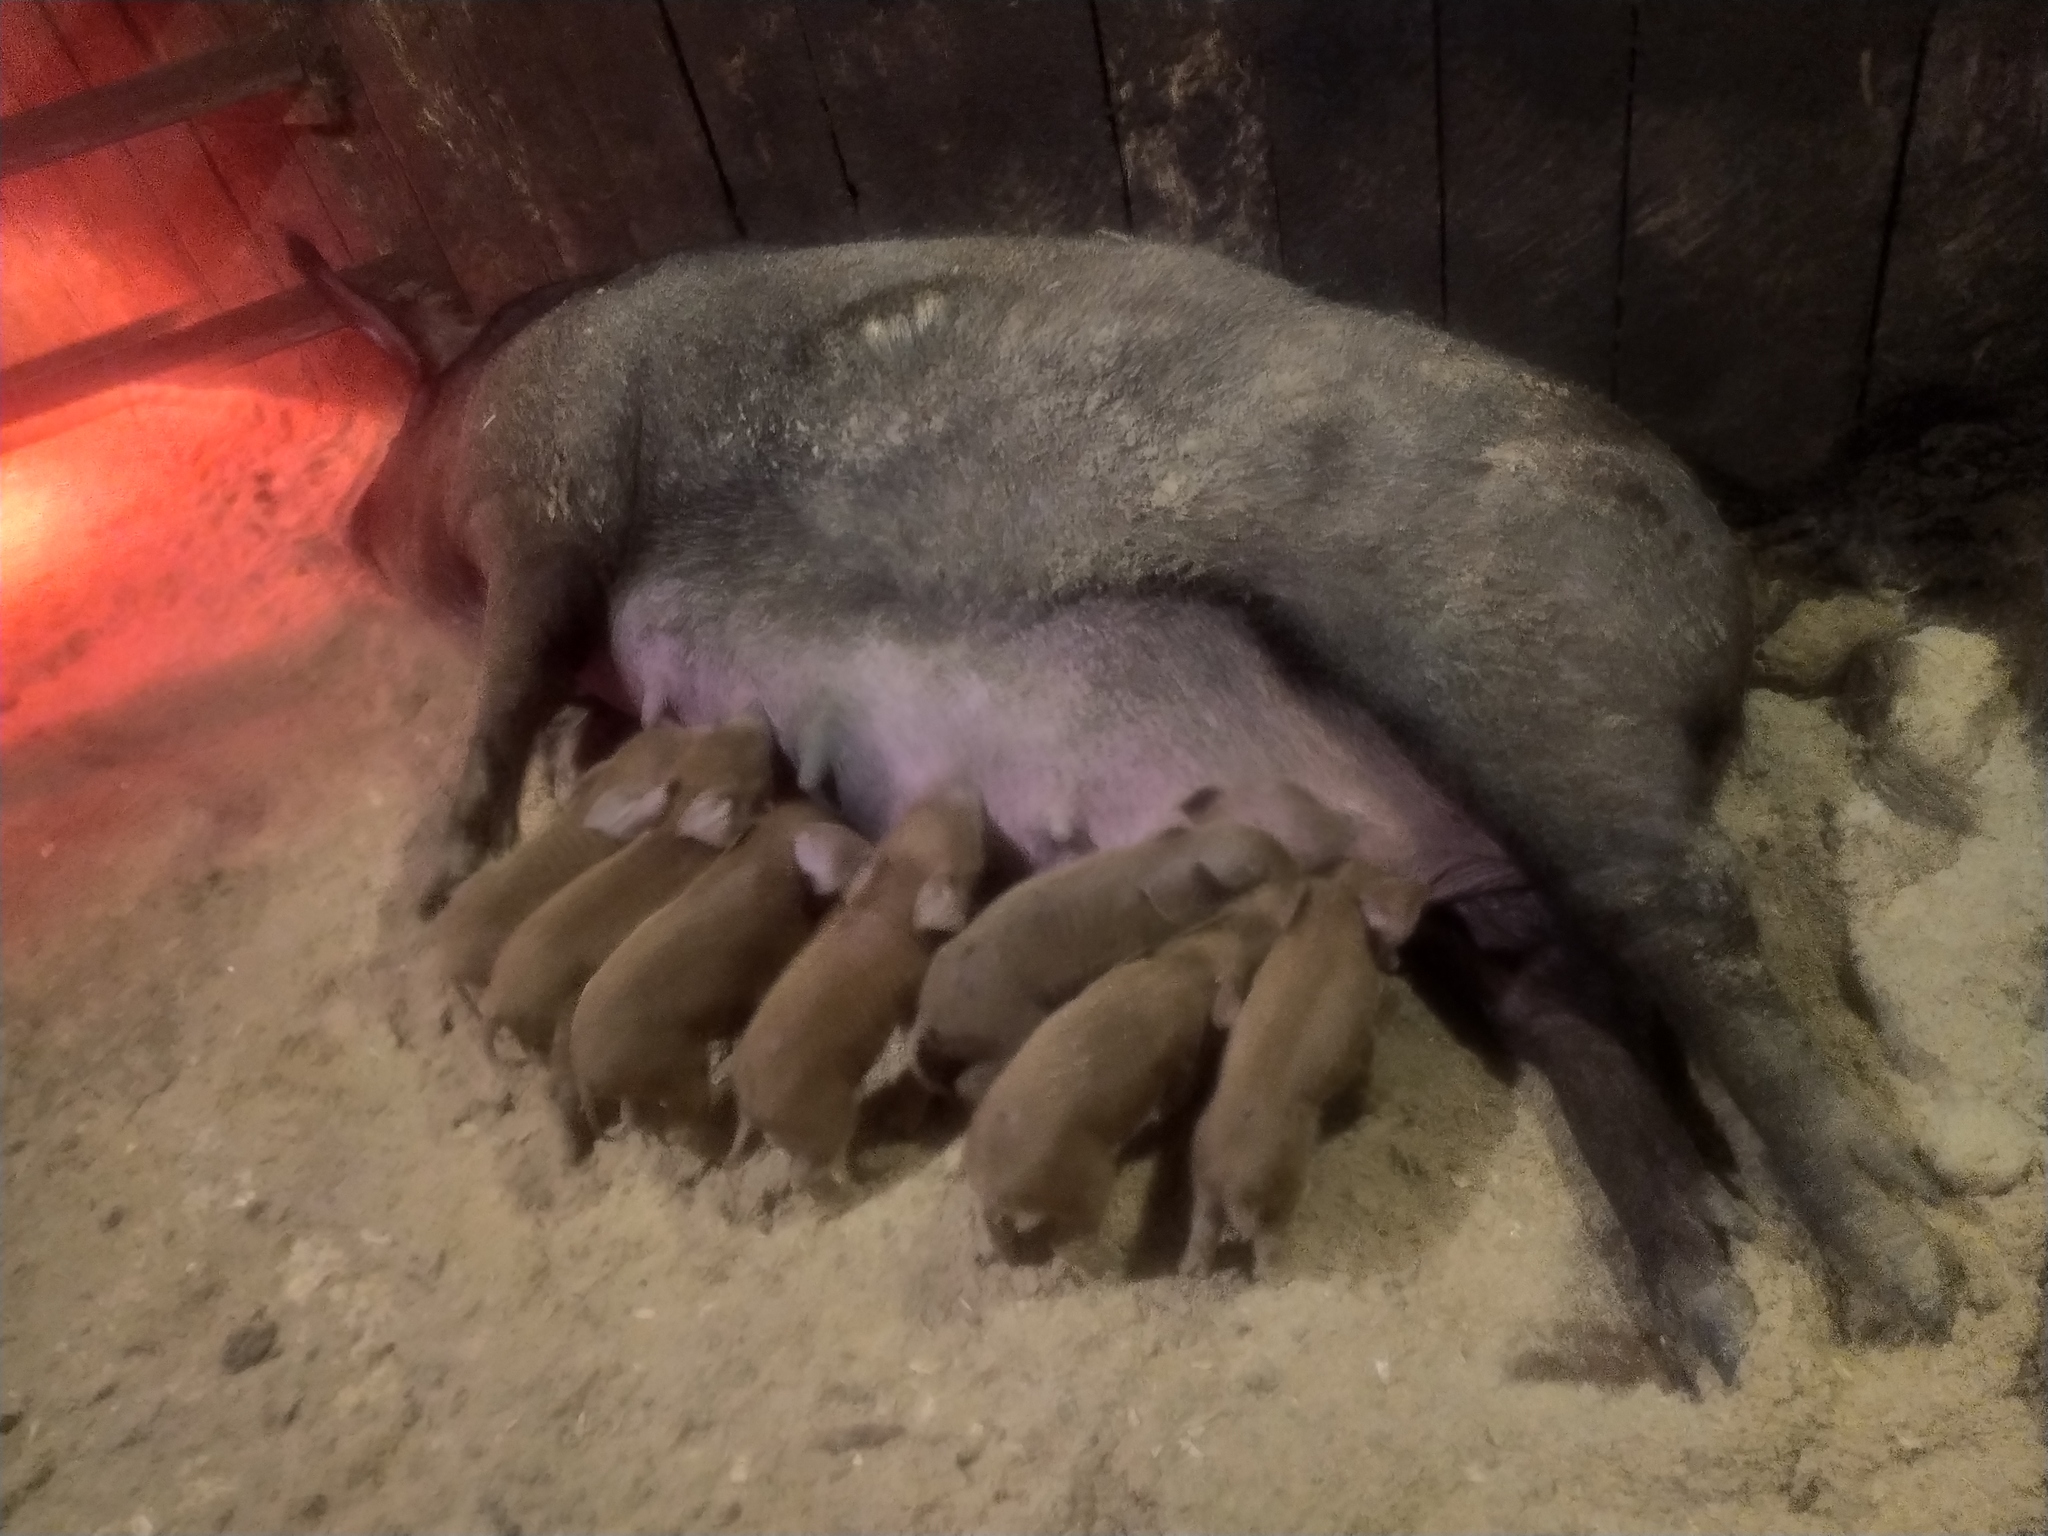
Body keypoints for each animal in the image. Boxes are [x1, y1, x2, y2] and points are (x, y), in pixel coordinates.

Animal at [913, 819, 1294, 1105]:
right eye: (1250, 875)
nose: (1296, 866)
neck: (1160, 860)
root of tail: (927, 1018)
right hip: (1005, 1027)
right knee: (973, 1080)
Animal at [962, 884, 1302, 1253]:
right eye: (1250, 959)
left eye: (1235, 912)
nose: (1288, 895)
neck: (1189, 965)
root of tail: (990, 1182)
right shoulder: (1181, 1054)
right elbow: (1177, 1094)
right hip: (1084, 1186)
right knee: (1067, 1242)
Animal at [1187, 860, 1425, 1277]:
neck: (1333, 909)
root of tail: (1231, 1178)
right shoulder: (1361, 1038)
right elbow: (1366, 1071)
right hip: (1279, 1191)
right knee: (1266, 1252)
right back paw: (1282, 1274)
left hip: (1203, 1186)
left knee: (1200, 1238)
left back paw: (1192, 1271)